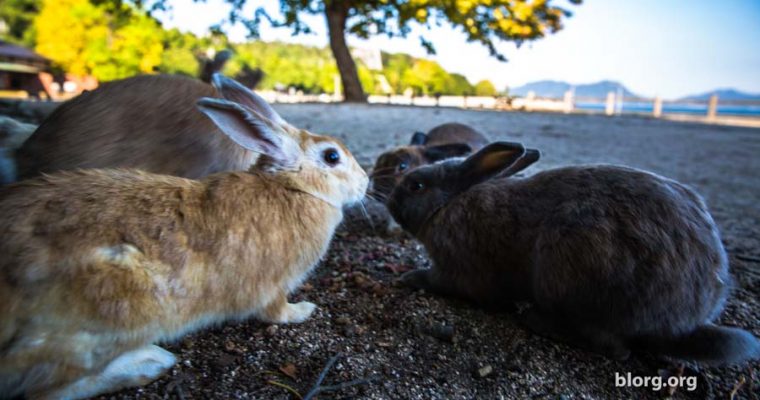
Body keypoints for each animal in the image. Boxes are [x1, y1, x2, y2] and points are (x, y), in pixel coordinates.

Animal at [0, 86, 368, 399]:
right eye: (332, 156)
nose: (366, 182)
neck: (295, 188)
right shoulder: (275, 287)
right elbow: (276, 311)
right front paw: (304, 310)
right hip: (114, 312)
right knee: (45, 390)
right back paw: (149, 363)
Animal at [387, 142, 759, 365]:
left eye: (416, 186)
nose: (390, 201)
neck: (448, 203)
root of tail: (683, 321)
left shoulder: (456, 270)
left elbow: (441, 280)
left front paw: (410, 277)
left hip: (570, 273)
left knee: (614, 348)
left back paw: (537, 321)